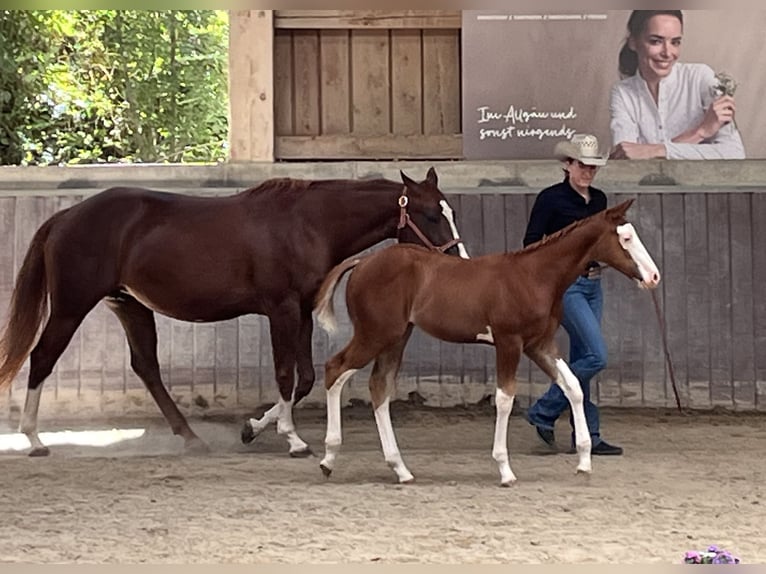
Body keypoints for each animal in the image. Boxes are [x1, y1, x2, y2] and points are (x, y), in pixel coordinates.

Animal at [0, 167, 469, 458]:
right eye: (431, 214)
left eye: (450, 210)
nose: (460, 260)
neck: (307, 223)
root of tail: (66, 216)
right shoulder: (281, 310)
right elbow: (285, 376)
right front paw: (293, 440)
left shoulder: (300, 310)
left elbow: (305, 378)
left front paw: (253, 428)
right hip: (70, 307)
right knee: (42, 358)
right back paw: (34, 440)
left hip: (130, 305)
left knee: (146, 367)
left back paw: (191, 438)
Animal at [313, 199, 660, 486]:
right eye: (625, 239)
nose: (654, 277)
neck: (534, 276)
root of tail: (362, 263)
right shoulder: (509, 343)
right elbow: (505, 398)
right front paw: (505, 470)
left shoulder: (539, 344)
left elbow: (573, 386)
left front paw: (585, 463)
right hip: (375, 334)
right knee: (334, 369)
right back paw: (328, 458)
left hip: (397, 337)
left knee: (379, 386)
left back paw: (400, 469)